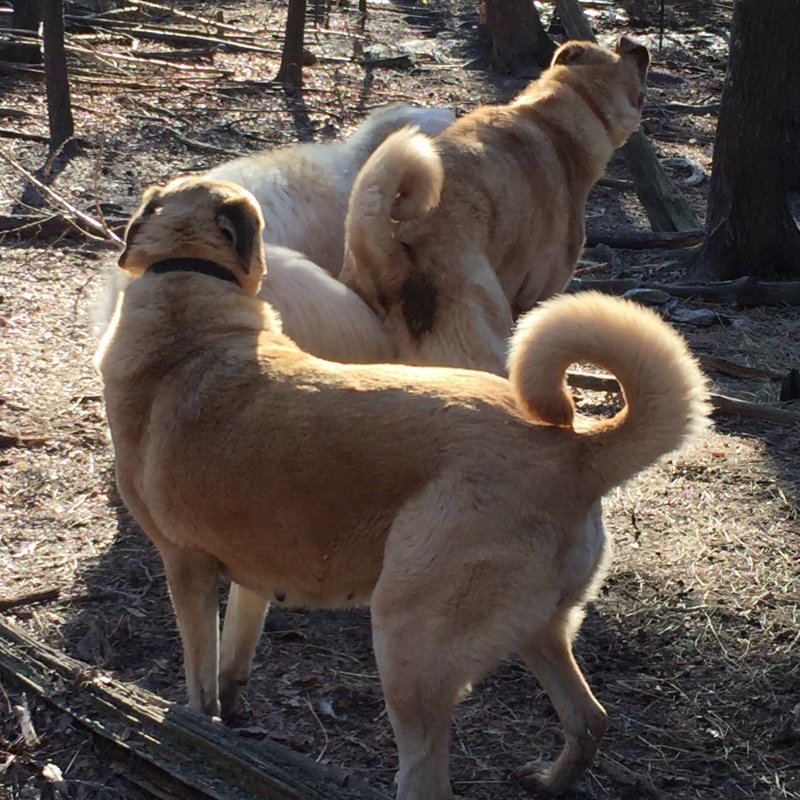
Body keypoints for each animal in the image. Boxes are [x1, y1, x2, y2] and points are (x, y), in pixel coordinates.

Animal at [95, 180, 708, 800]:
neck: (189, 290)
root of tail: (578, 451)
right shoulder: (253, 577)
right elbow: (232, 665)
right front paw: (229, 724)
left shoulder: (187, 569)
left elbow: (200, 685)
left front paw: (197, 733)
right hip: (538, 632)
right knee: (589, 719)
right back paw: (550, 780)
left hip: (407, 644)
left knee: (428, 775)